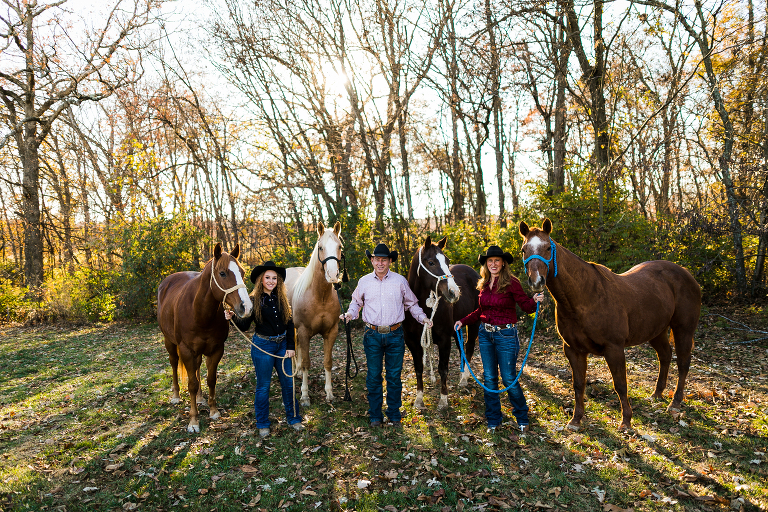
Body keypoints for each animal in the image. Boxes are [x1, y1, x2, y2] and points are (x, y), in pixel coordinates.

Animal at [158, 243, 254, 432]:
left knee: (197, 367)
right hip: (169, 342)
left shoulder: (216, 349)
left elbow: (210, 379)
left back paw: (200, 398)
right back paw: (176, 395)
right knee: (173, 363)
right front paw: (193, 420)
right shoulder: (186, 350)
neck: (199, 313)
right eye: (222, 273)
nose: (246, 307)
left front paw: (213, 410)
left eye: (242, 272)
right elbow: (192, 384)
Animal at [284, 222, 344, 406]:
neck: (320, 296)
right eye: (320, 247)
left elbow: (328, 362)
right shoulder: (304, 332)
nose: (332, 275)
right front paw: (304, 396)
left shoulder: (331, 332)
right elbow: (306, 363)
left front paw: (329, 393)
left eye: (339, 246)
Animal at [404, 238, 476, 410]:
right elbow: (418, 368)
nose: (454, 292)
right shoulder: (412, 342)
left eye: (447, 261)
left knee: (469, 347)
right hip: (457, 328)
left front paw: (443, 400)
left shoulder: (444, 340)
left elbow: (443, 369)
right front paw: (419, 399)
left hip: (474, 322)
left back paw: (464, 379)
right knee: (462, 349)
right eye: (431, 262)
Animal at [516, 218, 704, 430]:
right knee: (665, 356)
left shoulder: (614, 348)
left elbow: (620, 384)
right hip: (656, 331)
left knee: (683, 363)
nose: (536, 281)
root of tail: (686, 273)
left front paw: (626, 421)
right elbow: (578, 384)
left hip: (683, 330)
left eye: (548, 248)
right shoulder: (573, 350)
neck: (585, 297)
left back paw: (675, 403)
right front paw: (576, 420)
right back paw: (657, 394)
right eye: (524, 249)